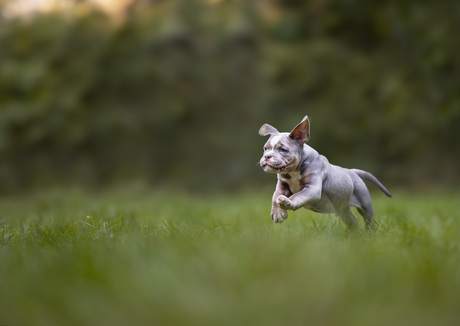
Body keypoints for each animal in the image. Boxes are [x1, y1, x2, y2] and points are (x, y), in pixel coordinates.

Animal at [258, 116, 392, 228]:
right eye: (265, 148)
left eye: (283, 150)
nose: (267, 156)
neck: (294, 171)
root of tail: (352, 171)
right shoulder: (282, 184)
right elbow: (275, 195)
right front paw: (277, 213)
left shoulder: (312, 188)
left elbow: (298, 195)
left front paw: (288, 202)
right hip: (342, 208)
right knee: (352, 218)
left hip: (364, 202)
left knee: (368, 219)